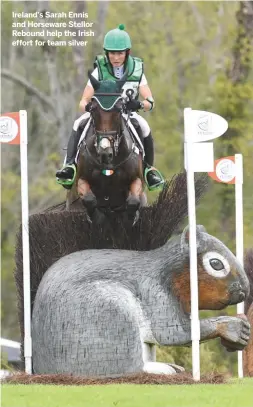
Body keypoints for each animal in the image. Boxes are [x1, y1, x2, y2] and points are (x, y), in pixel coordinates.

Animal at [66, 70, 148, 223]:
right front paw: (97, 217)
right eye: (93, 109)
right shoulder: (81, 180)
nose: (105, 152)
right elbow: (89, 199)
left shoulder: (137, 180)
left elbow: (133, 201)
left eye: (119, 109)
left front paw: (130, 218)